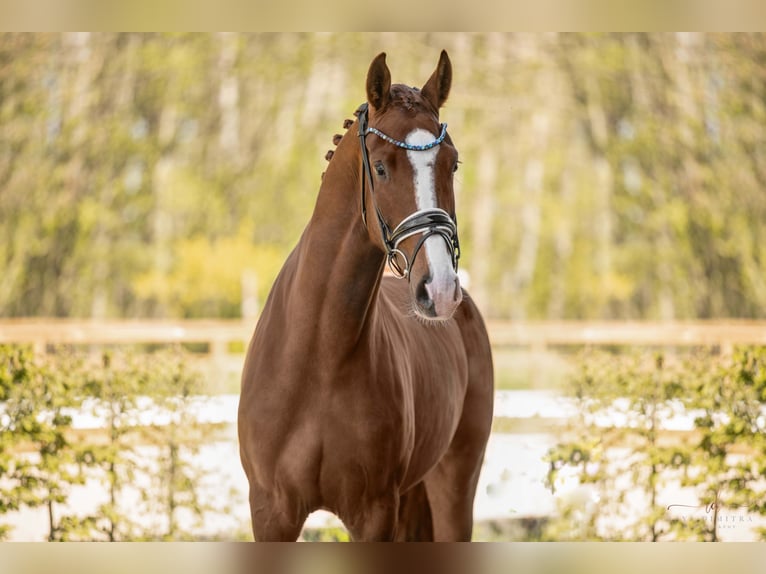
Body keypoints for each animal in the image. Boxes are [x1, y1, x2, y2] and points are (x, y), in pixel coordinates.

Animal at [237, 51, 496, 544]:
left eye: (452, 164)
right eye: (379, 166)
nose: (439, 290)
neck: (319, 358)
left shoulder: (375, 513)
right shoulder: (271, 512)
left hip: (455, 484)